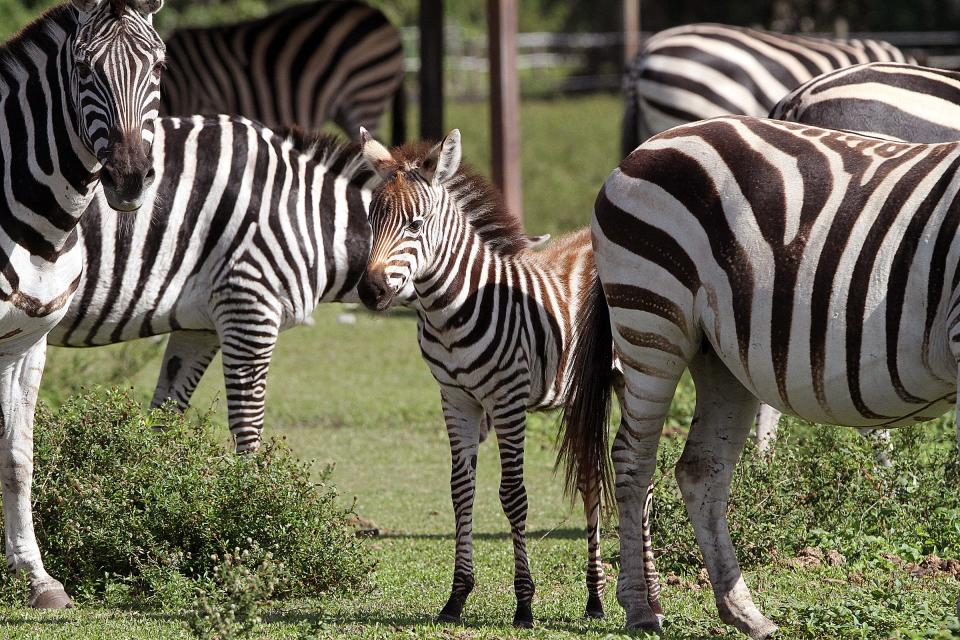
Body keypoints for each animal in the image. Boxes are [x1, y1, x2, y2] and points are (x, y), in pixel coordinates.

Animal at [0, 0, 165, 608]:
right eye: (85, 71)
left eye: (158, 68)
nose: (131, 179)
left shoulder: (28, 342)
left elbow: (18, 457)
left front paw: (36, 576)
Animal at [356, 131, 664, 632]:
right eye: (371, 220)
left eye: (416, 225)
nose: (370, 291)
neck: (450, 310)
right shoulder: (455, 398)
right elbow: (461, 492)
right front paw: (456, 597)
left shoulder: (508, 399)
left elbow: (513, 496)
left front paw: (524, 604)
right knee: (592, 482)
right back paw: (595, 600)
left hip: (636, 374)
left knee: (644, 481)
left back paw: (651, 599)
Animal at [560, 114, 960, 636]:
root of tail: (646, 147)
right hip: (651, 319)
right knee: (633, 460)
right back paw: (641, 608)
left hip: (720, 355)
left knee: (700, 470)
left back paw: (743, 612)